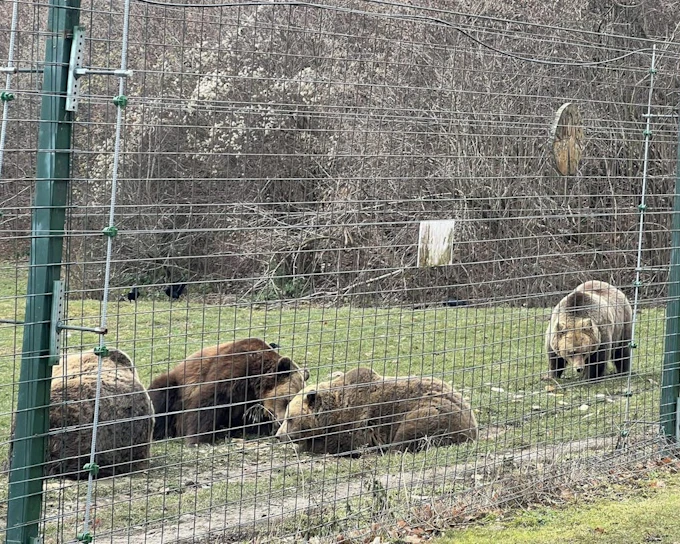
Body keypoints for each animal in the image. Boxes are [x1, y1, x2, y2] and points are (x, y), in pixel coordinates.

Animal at [148, 338, 308, 444]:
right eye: (288, 400)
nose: (281, 421)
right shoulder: (232, 370)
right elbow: (208, 402)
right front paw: (198, 438)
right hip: (177, 385)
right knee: (162, 395)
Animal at [275, 367, 478, 455]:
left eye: (290, 419)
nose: (278, 436)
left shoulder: (355, 424)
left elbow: (340, 444)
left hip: (432, 411)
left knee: (410, 430)